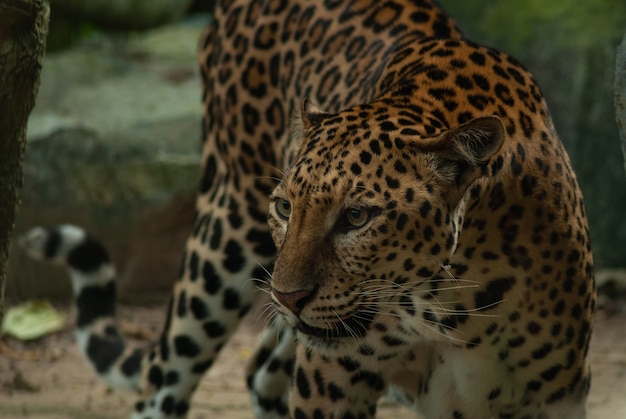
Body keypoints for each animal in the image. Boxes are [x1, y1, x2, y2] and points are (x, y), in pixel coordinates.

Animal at [20, 0, 596, 418]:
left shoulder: (557, 394)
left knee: (259, 369)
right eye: (283, 206)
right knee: (163, 373)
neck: (451, 305)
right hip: (224, 235)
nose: (287, 297)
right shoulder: (332, 380)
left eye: (357, 217)